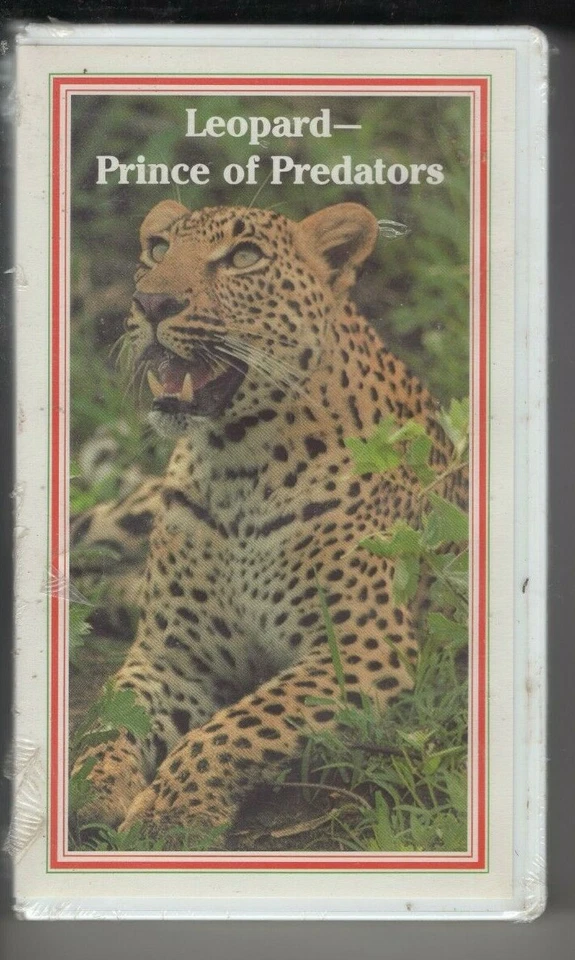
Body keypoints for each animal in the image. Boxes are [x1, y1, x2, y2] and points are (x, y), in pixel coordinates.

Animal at [71, 199, 468, 845]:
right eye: (158, 248)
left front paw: (170, 815)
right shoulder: (169, 655)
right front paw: (91, 782)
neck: (238, 466)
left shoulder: (364, 649)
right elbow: (111, 716)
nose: (151, 303)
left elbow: (241, 724)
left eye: (244, 257)